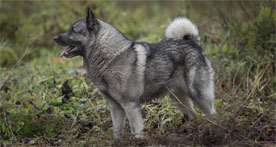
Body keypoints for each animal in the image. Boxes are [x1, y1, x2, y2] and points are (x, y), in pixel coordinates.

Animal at [54, 6, 217, 138]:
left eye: (73, 30)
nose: (55, 37)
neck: (111, 57)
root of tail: (193, 44)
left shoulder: (130, 105)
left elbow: (136, 131)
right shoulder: (115, 107)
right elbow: (117, 132)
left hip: (200, 96)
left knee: (212, 114)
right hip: (179, 99)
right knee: (194, 115)